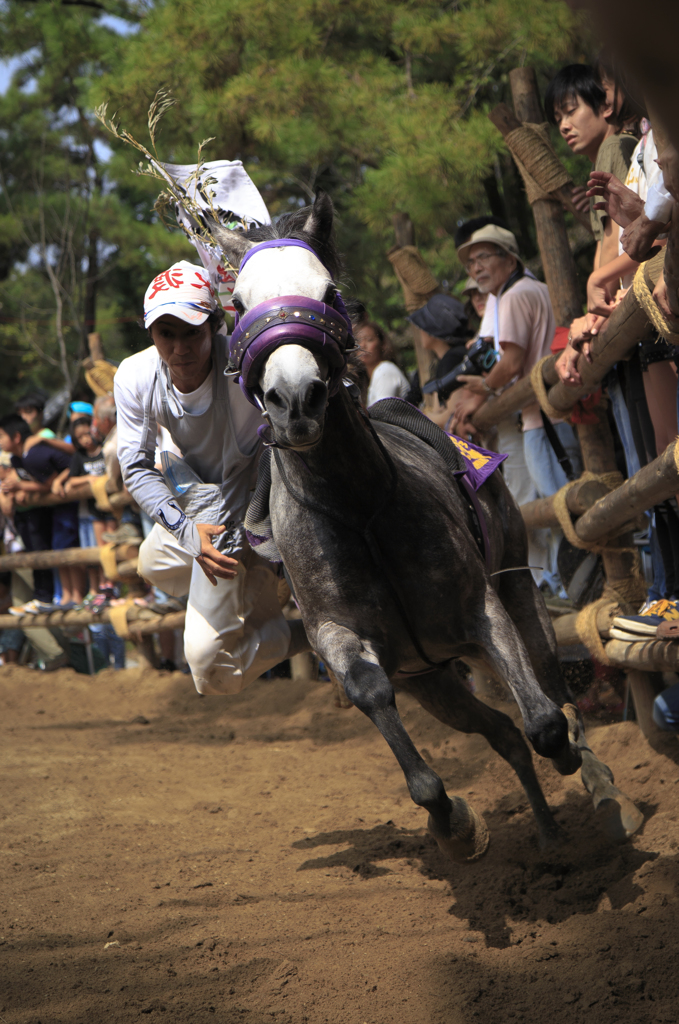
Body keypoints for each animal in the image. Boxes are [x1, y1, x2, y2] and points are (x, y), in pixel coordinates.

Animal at [213, 193, 643, 864]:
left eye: (328, 292)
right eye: (237, 304)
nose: (296, 399)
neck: (359, 507)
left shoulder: (480, 608)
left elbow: (549, 723)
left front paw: (579, 763)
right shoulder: (340, 635)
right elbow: (381, 706)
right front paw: (454, 823)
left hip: (518, 592)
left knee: (550, 693)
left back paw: (600, 795)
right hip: (433, 679)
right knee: (501, 733)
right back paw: (544, 833)